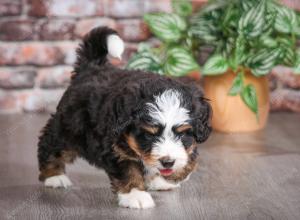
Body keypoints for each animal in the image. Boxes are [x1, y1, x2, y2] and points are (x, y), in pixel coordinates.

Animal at [37, 26, 211, 209]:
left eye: (183, 133)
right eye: (149, 135)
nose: (168, 162)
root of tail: (90, 68)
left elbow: (190, 157)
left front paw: (169, 177)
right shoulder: (115, 146)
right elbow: (129, 169)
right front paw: (136, 195)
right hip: (69, 128)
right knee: (51, 146)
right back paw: (54, 176)